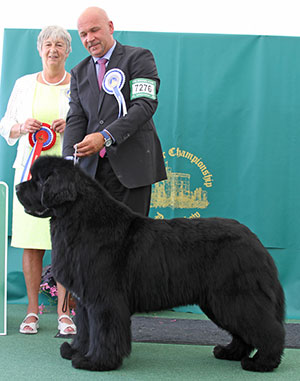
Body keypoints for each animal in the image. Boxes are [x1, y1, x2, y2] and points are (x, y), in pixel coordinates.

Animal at [15, 155, 284, 372]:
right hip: (220, 302)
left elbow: (103, 332)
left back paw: (262, 362)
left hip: (235, 297)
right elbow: (85, 329)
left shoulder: (105, 299)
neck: (80, 221)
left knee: (269, 329)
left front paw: (96, 362)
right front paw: (76, 351)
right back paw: (230, 352)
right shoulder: (85, 299)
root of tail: (255, 240)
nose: (17, 186)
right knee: (244, 333)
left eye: (38, 181)